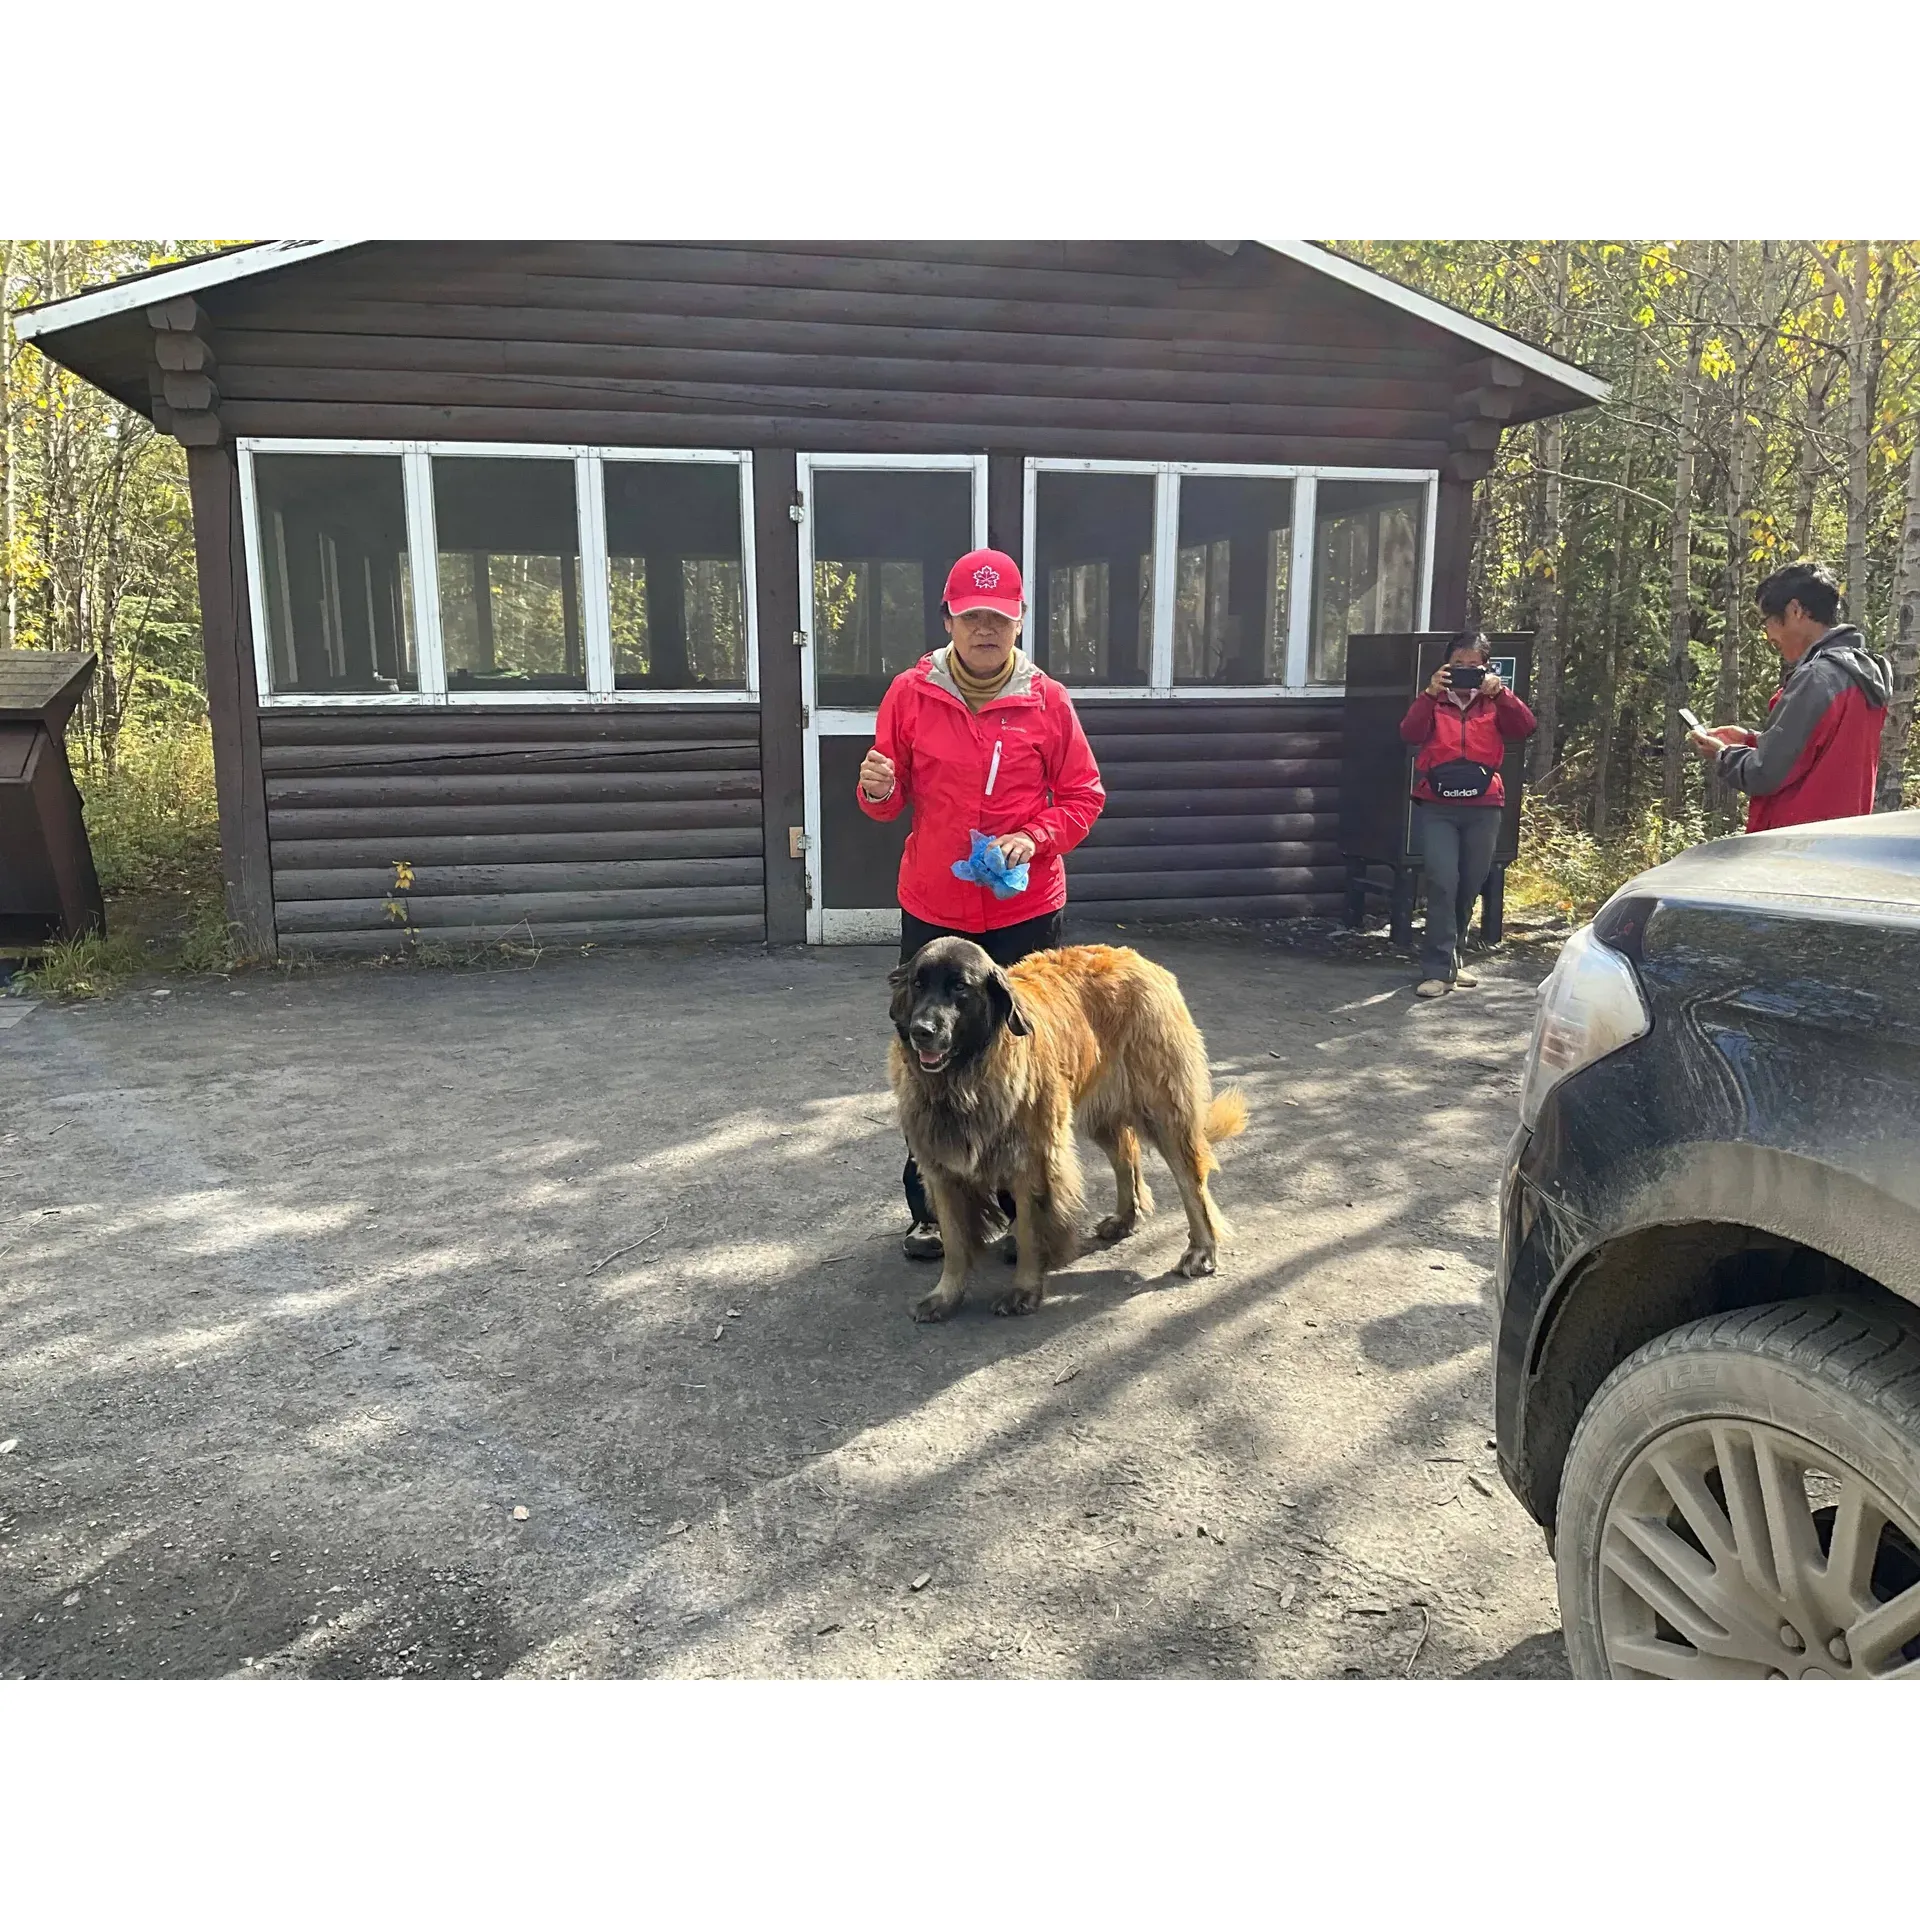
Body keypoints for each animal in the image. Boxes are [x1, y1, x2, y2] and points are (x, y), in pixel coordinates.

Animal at [883, 940, 1244, 1320]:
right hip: (1101, 1111)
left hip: (1164, 1108)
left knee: (1191, 1181)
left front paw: (1023, 1290)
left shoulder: (1032, 1161)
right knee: (1125, 1155)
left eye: (960, 987)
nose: (921, 1031)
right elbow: (954, 1242)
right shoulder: (942, 1168)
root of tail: (1137, 958)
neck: (964, 1081)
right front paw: (945, 1295)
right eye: (918, 984)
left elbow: (1029, 1232)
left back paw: (1201, 1250)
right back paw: (1125, 1218)